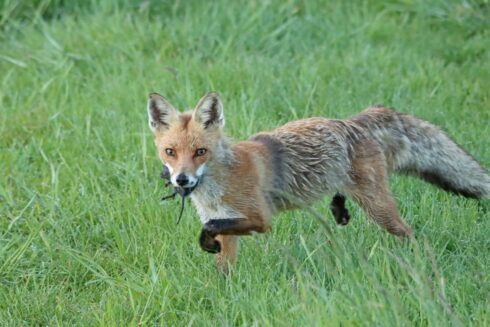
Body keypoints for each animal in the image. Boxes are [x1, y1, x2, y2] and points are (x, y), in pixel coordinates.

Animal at [147, 92, 490, 274]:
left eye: (200, 152)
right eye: (170, 152)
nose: (181, 179)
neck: (218, 187)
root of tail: (354, 121)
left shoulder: (259, 218)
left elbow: (210, 229)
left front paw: (205, 244)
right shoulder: (226, 226)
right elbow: (222, 264)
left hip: (380, 210)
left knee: (410, 234)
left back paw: (419, 262)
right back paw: (339, 209)